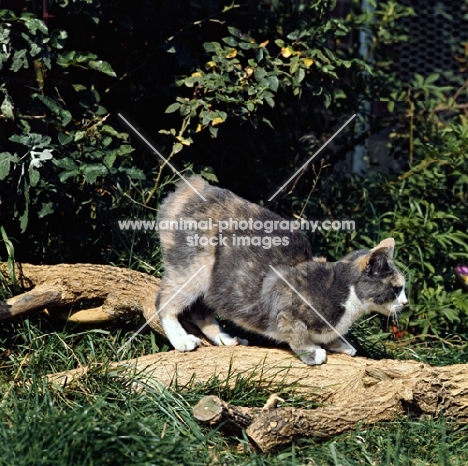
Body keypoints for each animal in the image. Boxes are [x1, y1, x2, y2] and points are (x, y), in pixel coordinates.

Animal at [155, 177, 408, 366]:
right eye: (397, 288)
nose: (405, 303)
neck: (345, 296)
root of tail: (192, 187)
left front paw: (340, 343)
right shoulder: (282, 294)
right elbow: (295, 330)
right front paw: (311, 351)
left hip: (220, 285)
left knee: (201, 310)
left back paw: (224, 338)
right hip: (196, 269)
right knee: (164, 301)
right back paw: (181, 339)